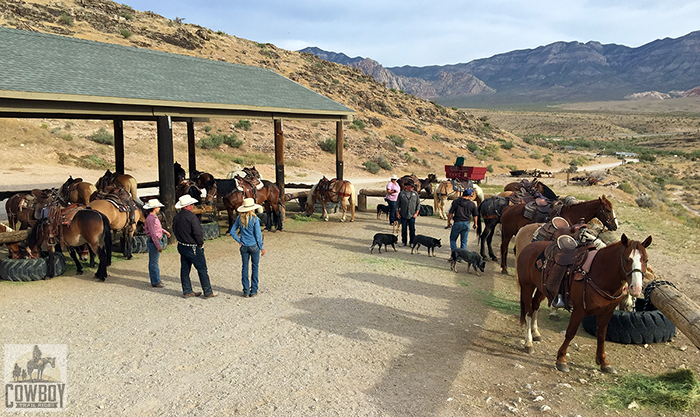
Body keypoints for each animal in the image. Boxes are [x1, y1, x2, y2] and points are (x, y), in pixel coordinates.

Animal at [516, 232, 652, 372]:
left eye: (646, 260)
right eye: (626, 259)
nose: (636, 288)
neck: (599, 274)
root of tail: (529, 247)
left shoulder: (607, 312)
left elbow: (601, 335)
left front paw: (604, 362)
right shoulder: (579, 310)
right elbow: (570, 333)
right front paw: (561, 360)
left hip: (542, 289)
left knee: (535, 306)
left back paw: (535, 333)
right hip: (527, 287)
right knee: (528, 312)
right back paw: (528, 343)